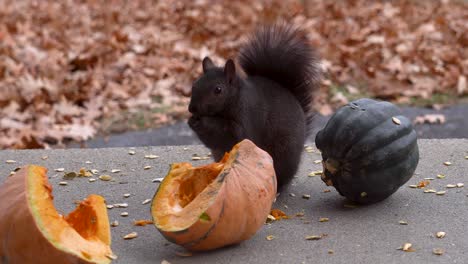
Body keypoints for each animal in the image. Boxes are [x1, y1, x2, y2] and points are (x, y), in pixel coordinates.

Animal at [186, 23, 322, 188]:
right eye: (194, 84)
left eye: (218, 90)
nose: (192, 108)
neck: (235, 99)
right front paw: (192, 120)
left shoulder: (248, 116)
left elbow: (234, 134)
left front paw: (202, 121)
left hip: (282, 154)